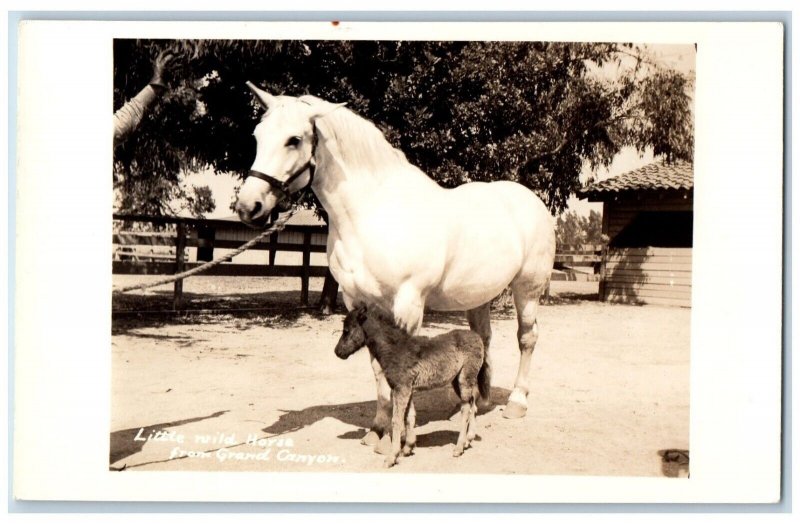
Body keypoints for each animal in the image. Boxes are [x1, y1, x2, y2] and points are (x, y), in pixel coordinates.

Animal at [234, 84, 552, 452]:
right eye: (257, 136)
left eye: (294, 140)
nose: (248, 206)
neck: (375, 213)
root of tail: (531, 200)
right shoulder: (357, 301)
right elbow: (378, 370)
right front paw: (378, 430)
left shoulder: (408, 303)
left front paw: (403, 436)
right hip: (477, 296)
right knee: (483, 338)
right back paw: (475, 402)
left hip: (527, 290)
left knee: (527, 338)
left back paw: (516, 403)